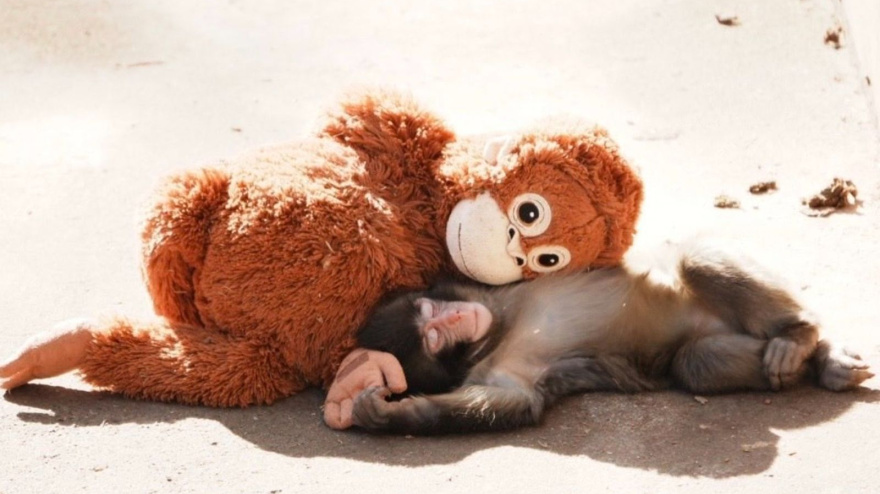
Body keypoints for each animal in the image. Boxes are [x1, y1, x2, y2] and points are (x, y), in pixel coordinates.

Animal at [343, 240, 874, 435]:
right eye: (432, 335)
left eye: (433, 312)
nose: (457, 318)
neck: (498, 329)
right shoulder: (497, 371)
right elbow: (516, 403)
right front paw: (392, 414)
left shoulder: (486, 288)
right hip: (709, 342)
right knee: (694, 363)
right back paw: (811, 356)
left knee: (692, 261)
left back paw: (802, 335)